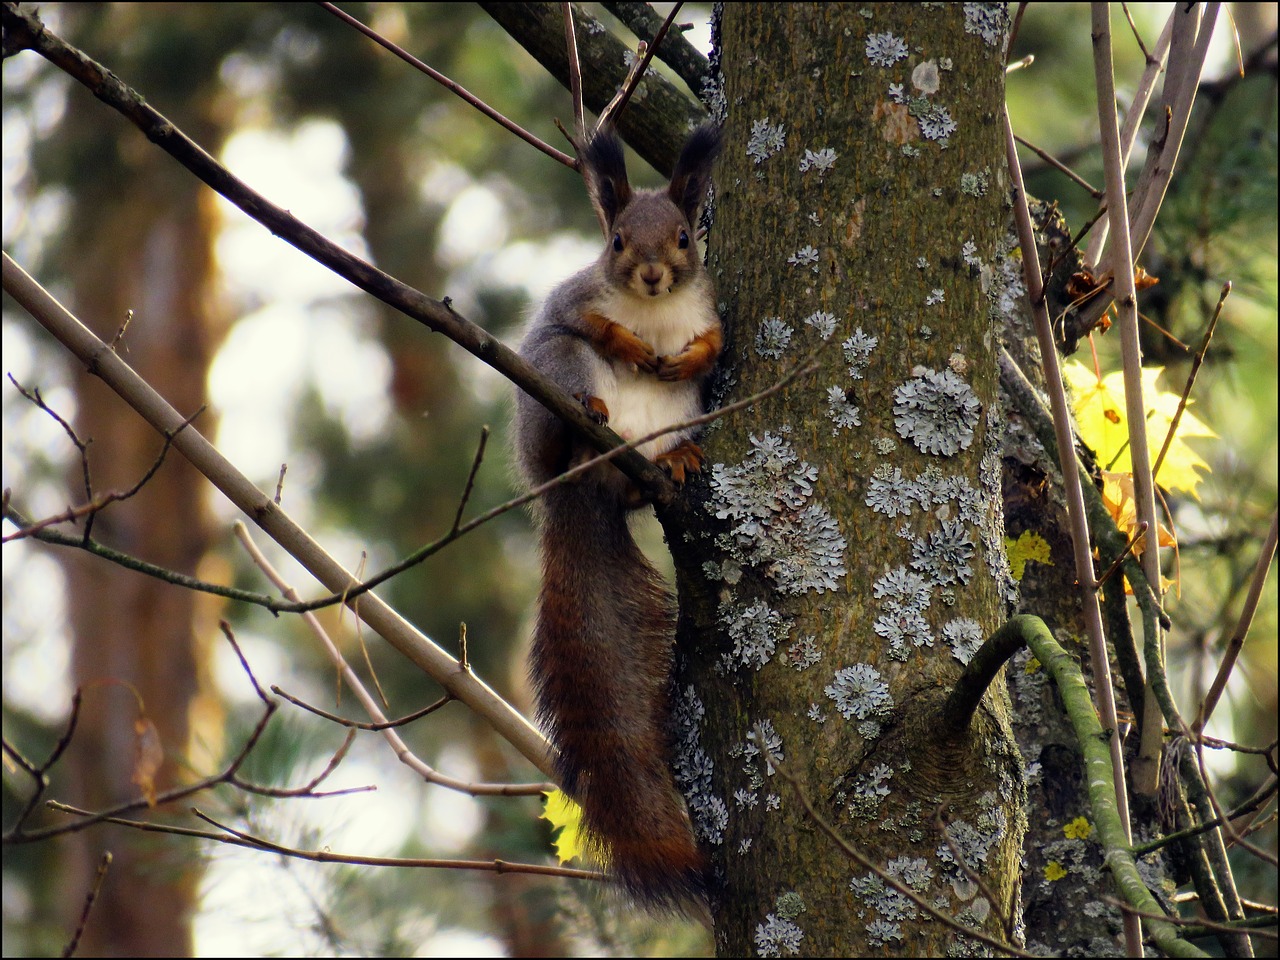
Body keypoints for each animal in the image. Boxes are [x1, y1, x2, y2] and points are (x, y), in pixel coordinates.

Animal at [514, 124, 727, 911]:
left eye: (685, 237)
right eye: (615, 242)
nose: (653, 275)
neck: (659, 314)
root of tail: (583, 490)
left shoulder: (709, 311)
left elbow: (716, 341)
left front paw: (690, 352)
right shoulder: (571, 302)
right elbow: (587, 320)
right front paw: (628, 343)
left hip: (681, 417)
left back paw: (677, 462)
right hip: (553, 381)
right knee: (567, 378)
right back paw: (593, 419)